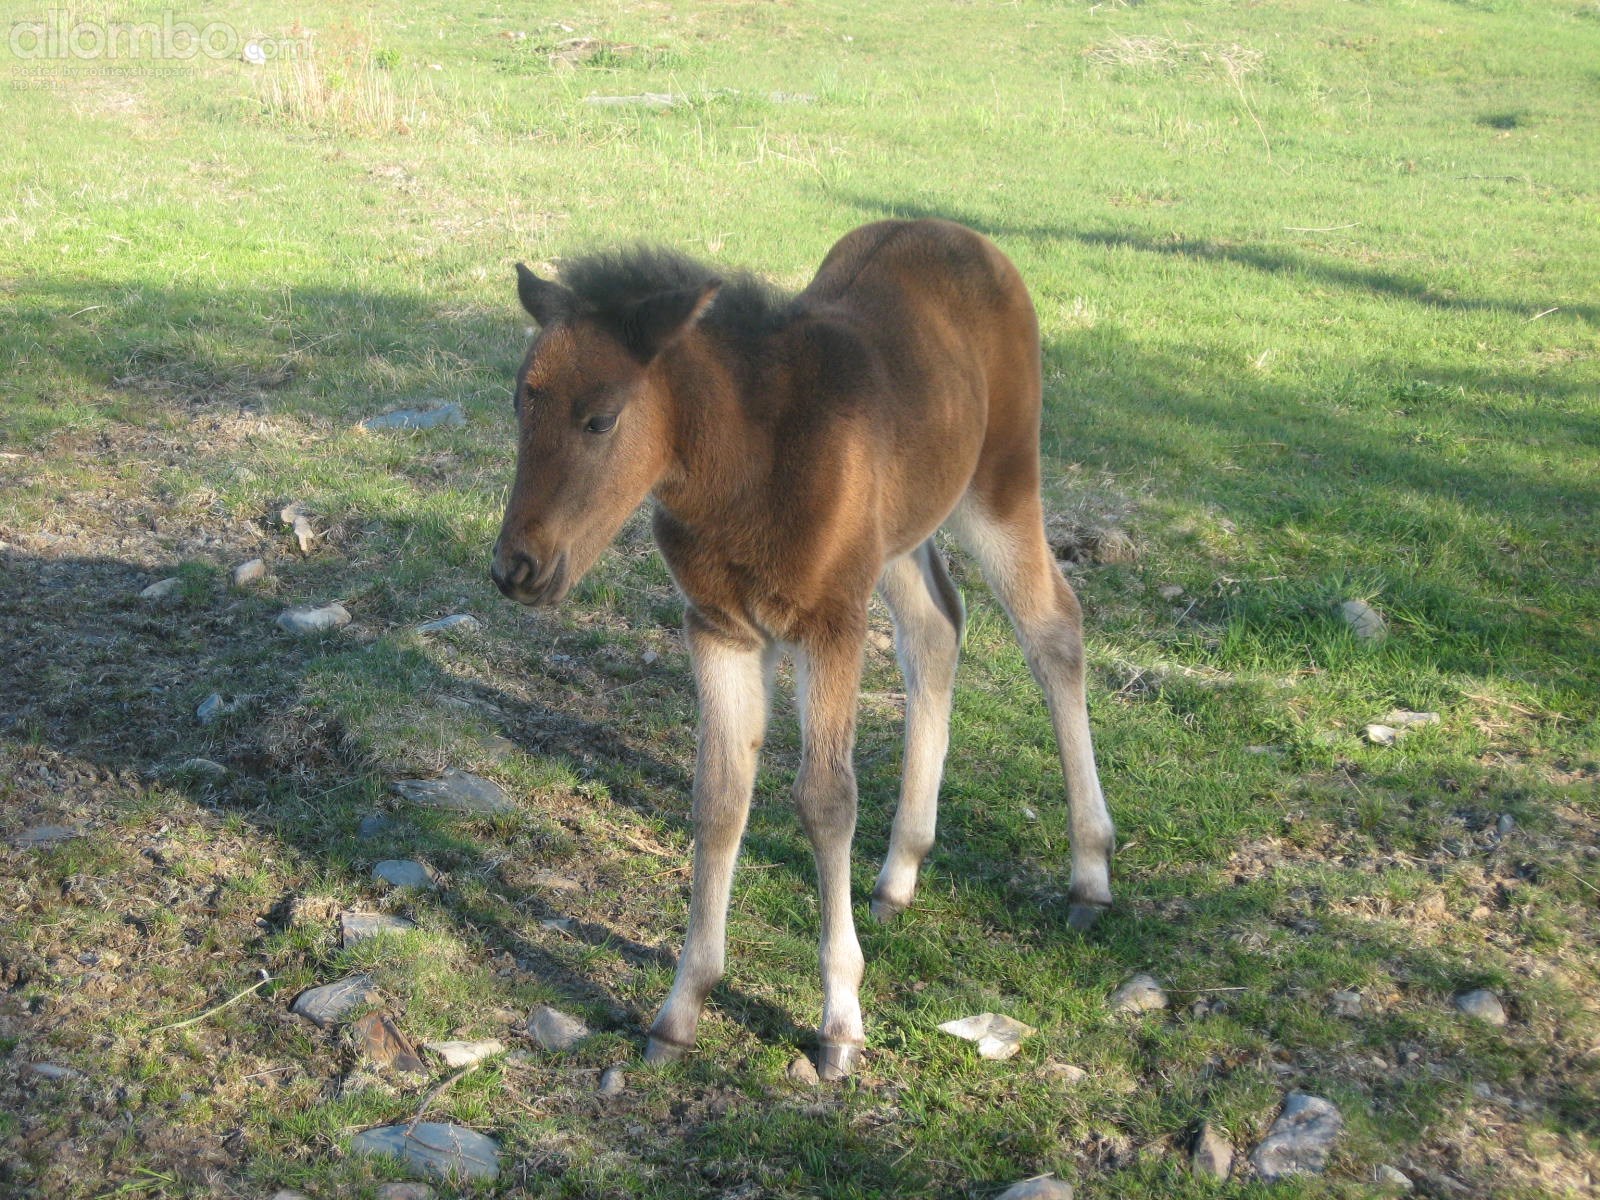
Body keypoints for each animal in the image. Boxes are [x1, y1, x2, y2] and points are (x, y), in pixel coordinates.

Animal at [491, 219, 1113, 1079]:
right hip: (898, 536)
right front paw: (681, 1009)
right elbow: (720, 799)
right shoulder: (719, 628)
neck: (750, 464)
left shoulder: (829, 624)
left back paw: (1089, 873)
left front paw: (840, 1022)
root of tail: (969, 240)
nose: (516, 569)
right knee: (936, 630)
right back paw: (899, 873)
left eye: (600, 419)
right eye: (521, 404)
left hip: (1001, 484)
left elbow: (825, 800)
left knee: (1054, 630)